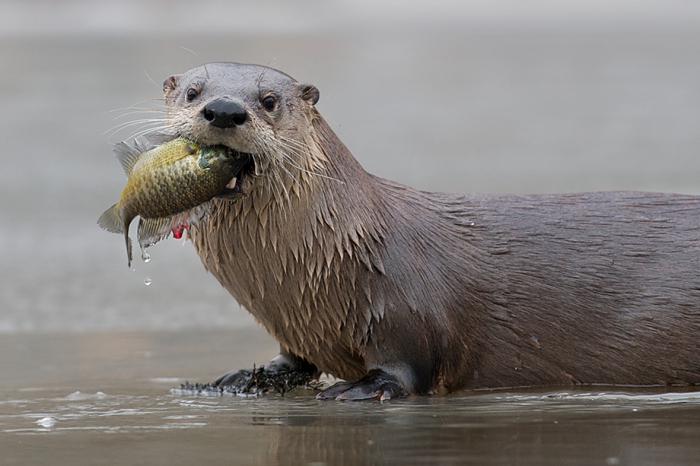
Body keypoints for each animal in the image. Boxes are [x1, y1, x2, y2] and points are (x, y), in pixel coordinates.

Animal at [161, 62, 696, 400]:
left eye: (269, 100)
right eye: (192, 91)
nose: (225, 109)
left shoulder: (405, 309)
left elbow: (405, 367)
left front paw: (357, 389)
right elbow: (295, 362)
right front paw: (241, 378)